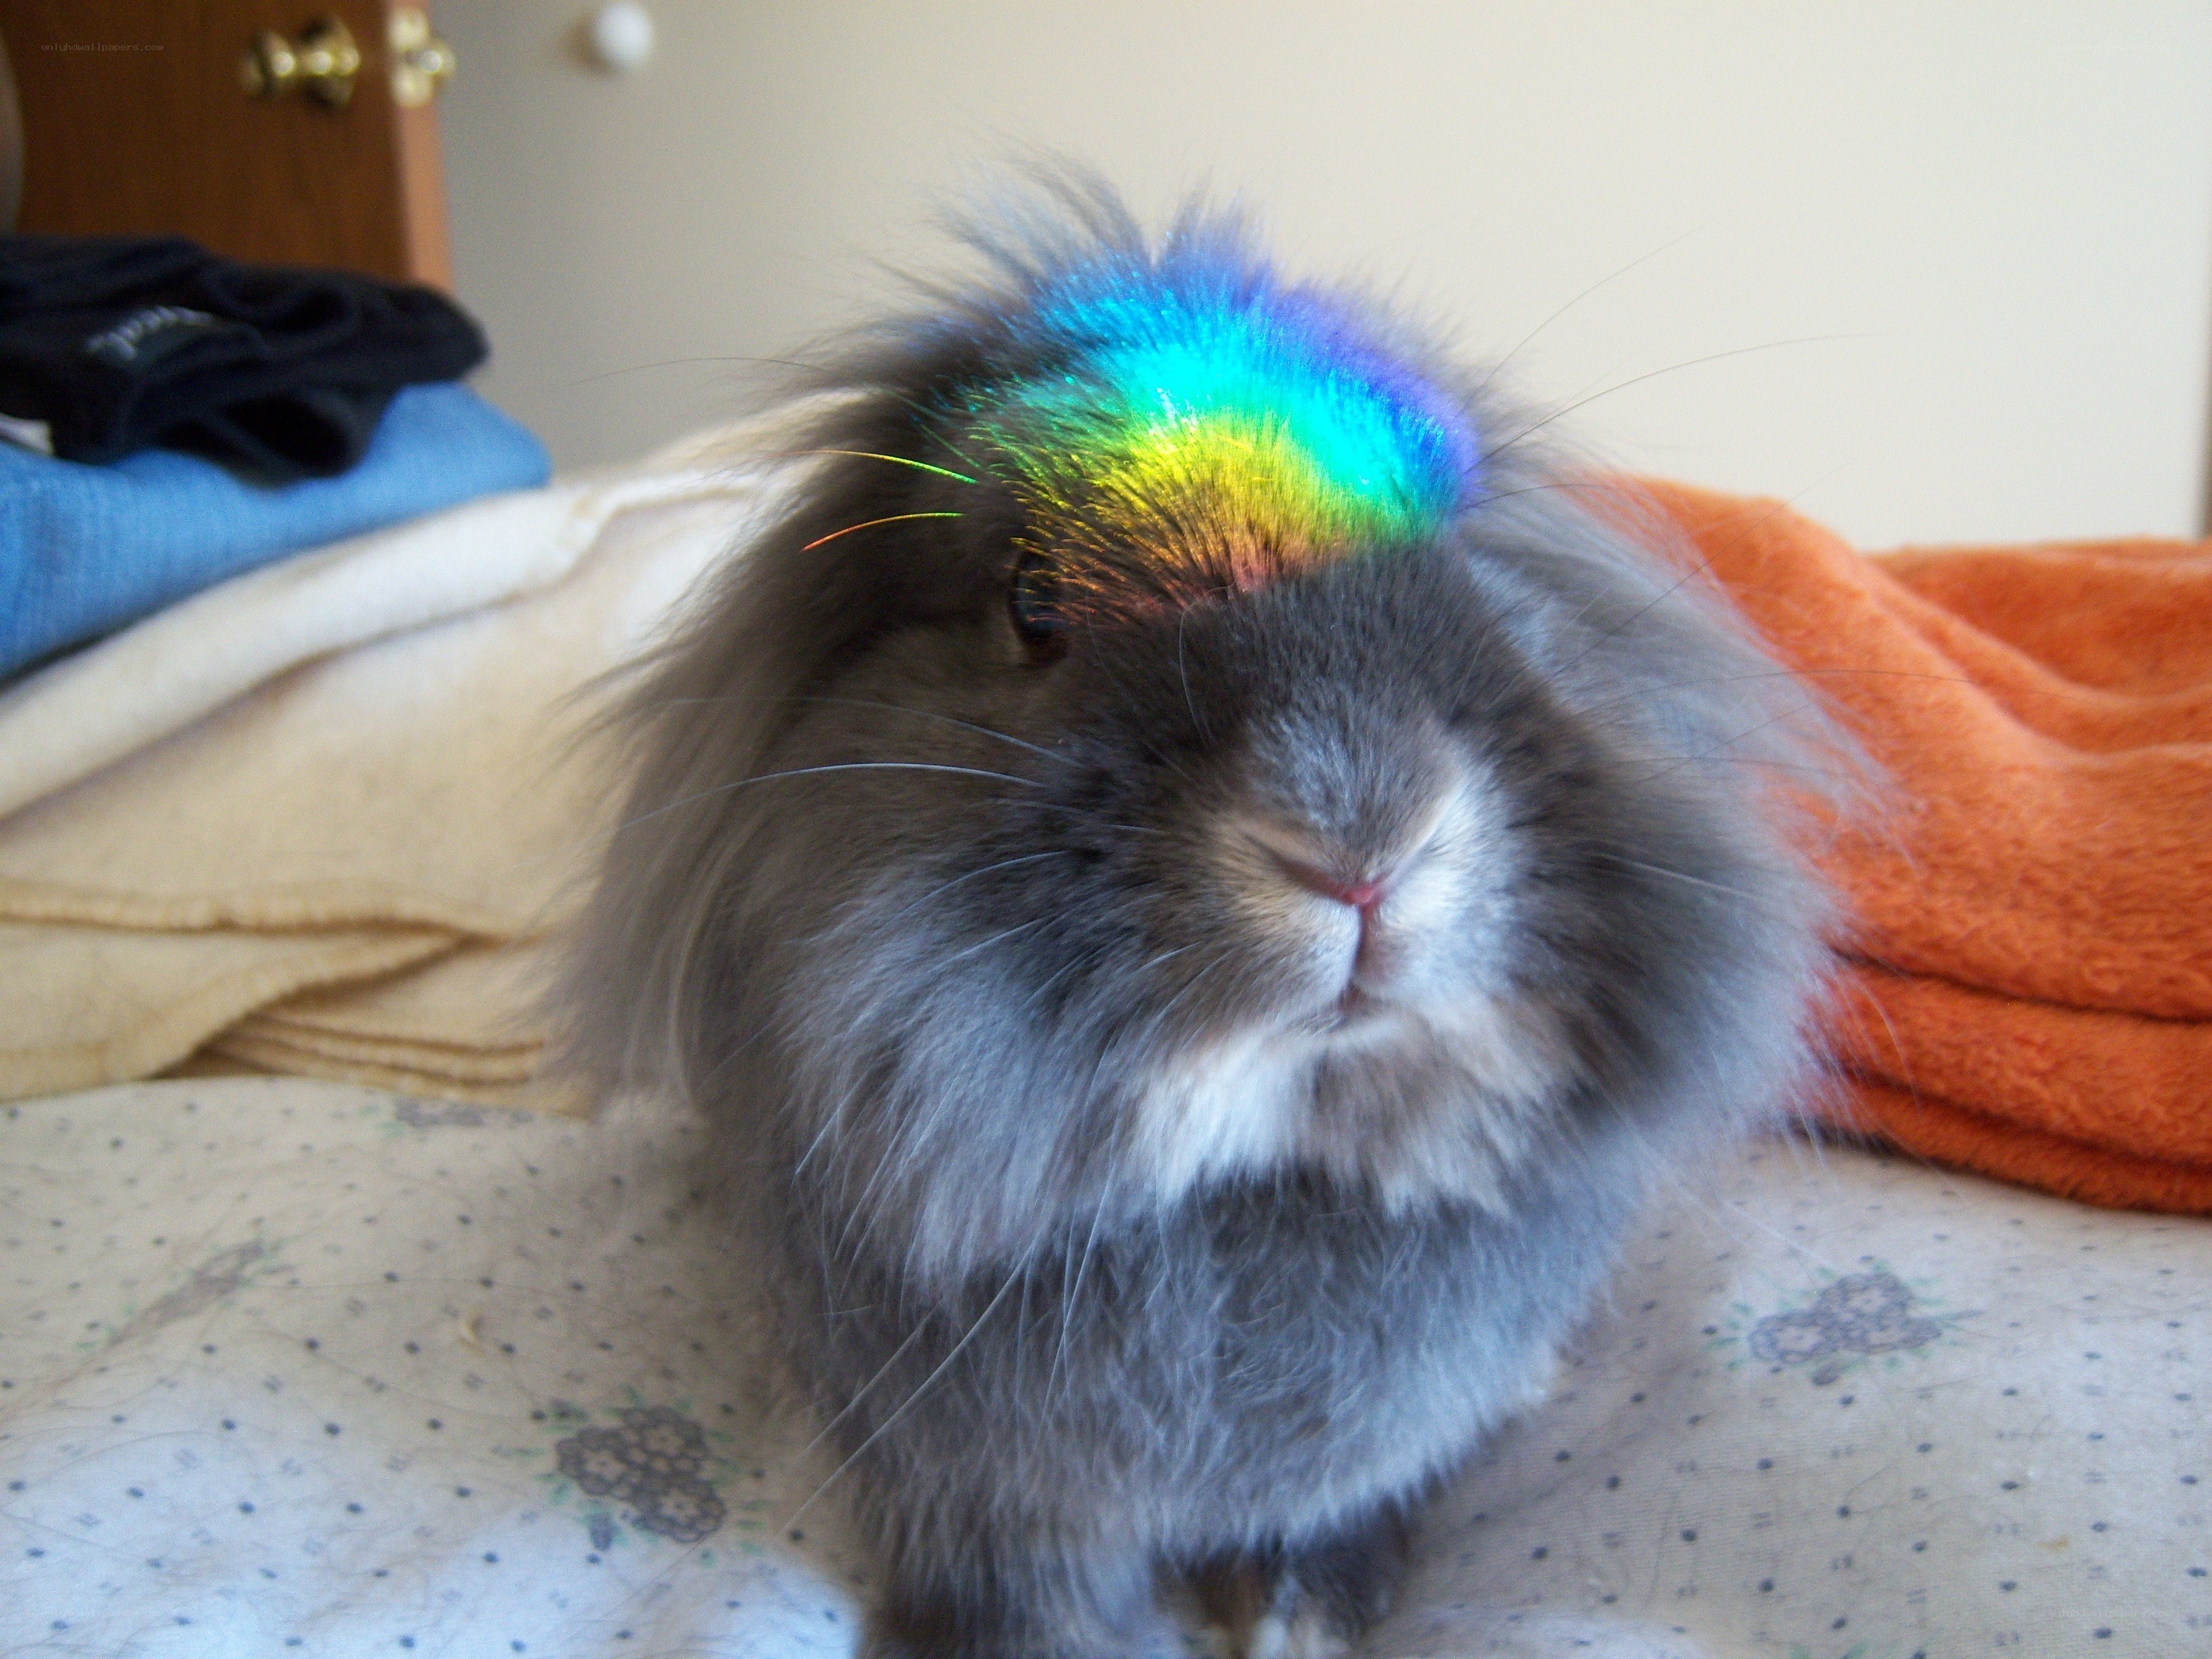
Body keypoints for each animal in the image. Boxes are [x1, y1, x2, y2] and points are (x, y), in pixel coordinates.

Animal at [555, 177, 1845, 1659]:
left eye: (1461, 557)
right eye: (1032, 602)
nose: (1360, 843)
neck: (1251, 1168)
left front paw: (1303, 1614)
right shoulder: (968, 1481)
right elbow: (1016, 1570)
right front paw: (1017, 1647)